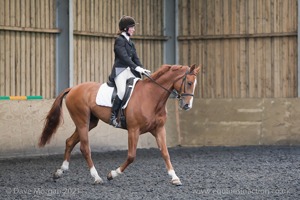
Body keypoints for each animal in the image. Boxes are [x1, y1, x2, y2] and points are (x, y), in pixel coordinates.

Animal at [38, 64, 200, 186]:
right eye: (189, 83)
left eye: (195, 84)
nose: (187, 106)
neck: (151, 97)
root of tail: (73, 88)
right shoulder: (133, 130)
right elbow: (131, 156)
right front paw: (112, 174)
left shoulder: (158, 129)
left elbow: (165, 153)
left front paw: (175, 178)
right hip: (82, 121)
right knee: (85, 148)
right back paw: (96, 177)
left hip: (90, 123)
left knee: (70, 141)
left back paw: (60, 171)